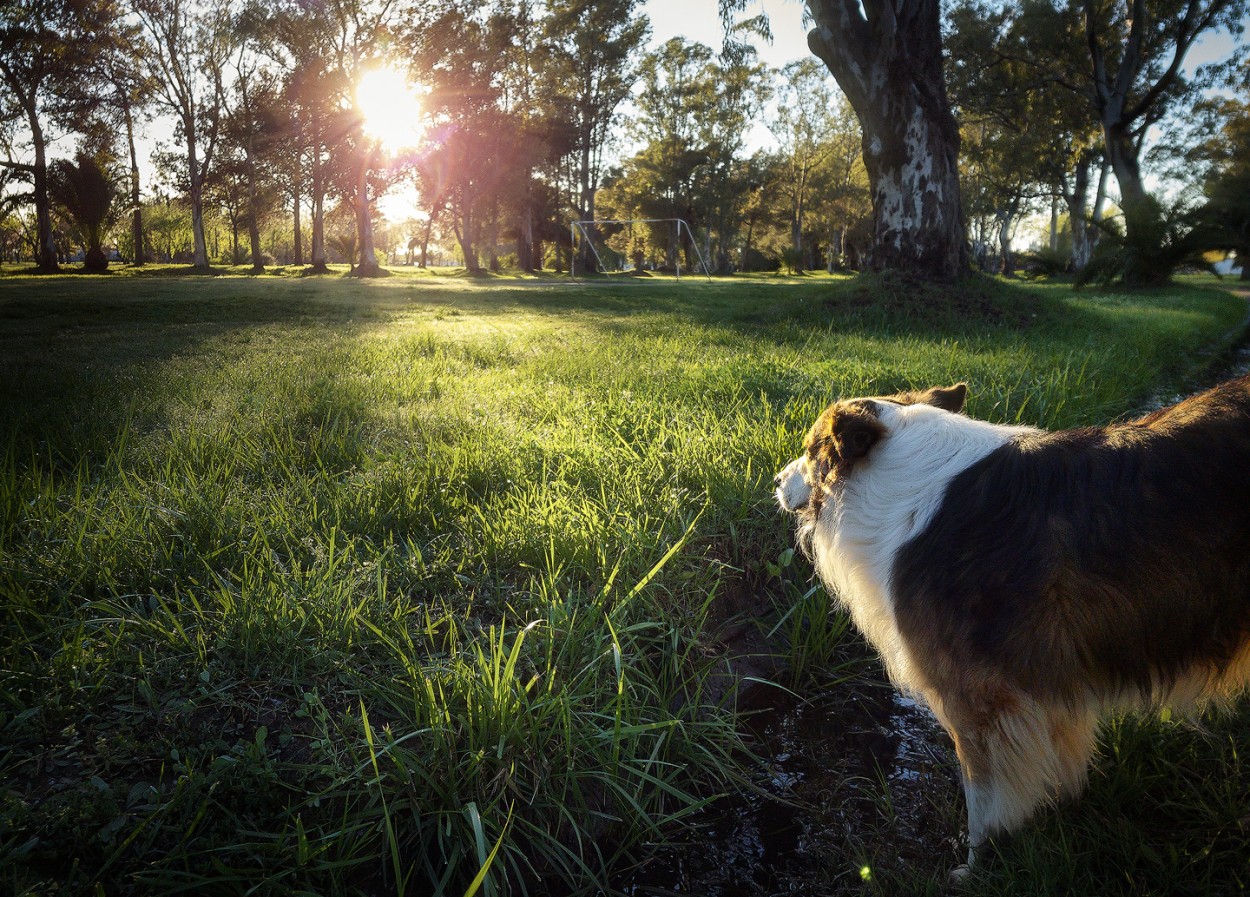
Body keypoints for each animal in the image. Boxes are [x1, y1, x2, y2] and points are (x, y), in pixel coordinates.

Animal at [770, 377, 1250, 869]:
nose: (774, 480)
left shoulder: (978, 699)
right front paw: (1056, 818)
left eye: (809, 450)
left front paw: (977, 865)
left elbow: (984, 796)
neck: (900, 486)